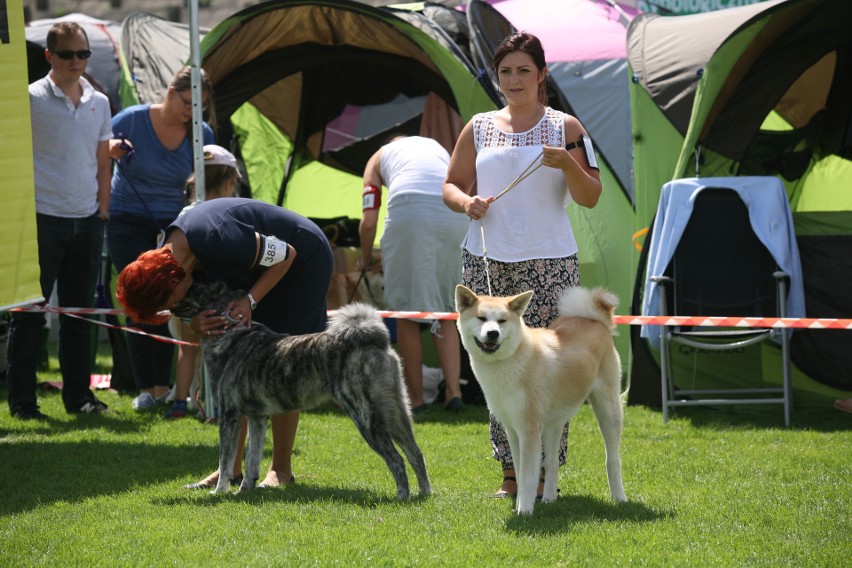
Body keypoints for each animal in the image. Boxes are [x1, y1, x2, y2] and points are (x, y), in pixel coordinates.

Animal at [171, 282, 432, 500]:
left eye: (192, 286)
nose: (171, 300)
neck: (230, 332)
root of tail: (373, 341)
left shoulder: (229, 416)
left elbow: (225, 460)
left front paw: (219, 492)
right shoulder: (257, 419)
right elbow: (252, 459)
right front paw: (245, 490)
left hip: (367, 418)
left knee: (397, 460)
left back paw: (402, 497)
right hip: (396, 416)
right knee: (416, 454)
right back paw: (424, 494)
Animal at [456, 286, 628, 512]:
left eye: (502, 321)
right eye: (481, 318)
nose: (493, 333)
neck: (511, 360)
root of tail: (596, 320)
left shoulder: (528, 430)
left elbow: (528, 476)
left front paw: (524, 511)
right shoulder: (512, 430)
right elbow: (520, 472)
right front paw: (521, 504)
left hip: (607, 408)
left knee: (613, 459)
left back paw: (619, 497)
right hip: (553, 424)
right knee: (552, 462)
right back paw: (548, 498)